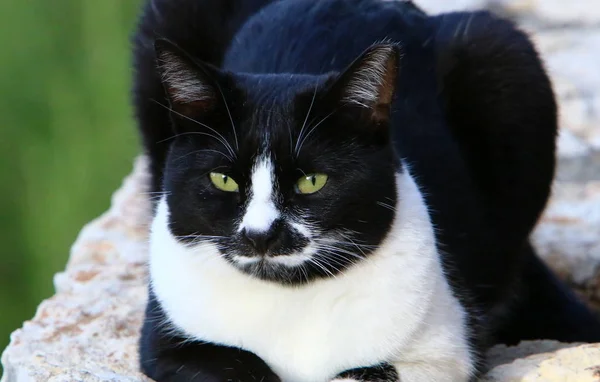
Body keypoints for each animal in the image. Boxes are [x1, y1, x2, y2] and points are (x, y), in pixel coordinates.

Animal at [134, 0, 600, 382]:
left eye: (311, 181)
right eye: (224, 179)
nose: (261, 235)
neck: (291, 300)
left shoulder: (445, 353)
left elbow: (367, 373)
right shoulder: (170, 343)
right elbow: (238, 366)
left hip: (505, 55)